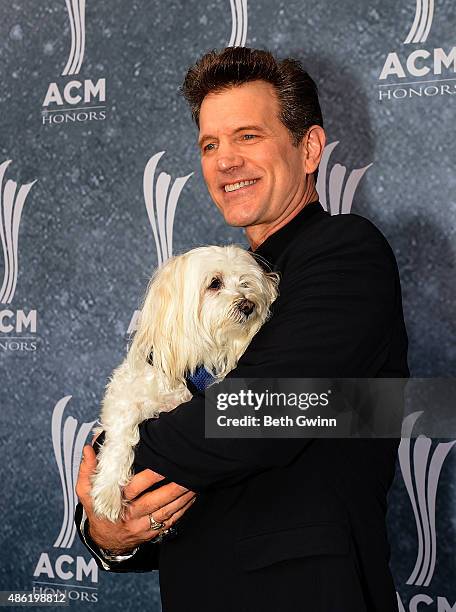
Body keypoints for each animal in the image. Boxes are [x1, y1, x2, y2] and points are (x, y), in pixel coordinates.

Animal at [89, 244, 278, 520]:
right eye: (214, 283)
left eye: (245, 283)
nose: (248, 305)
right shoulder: (123, 398)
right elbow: (120, 438)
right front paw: (109, 492)